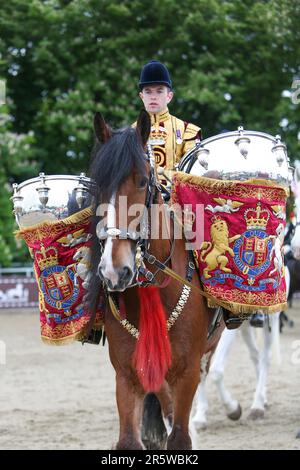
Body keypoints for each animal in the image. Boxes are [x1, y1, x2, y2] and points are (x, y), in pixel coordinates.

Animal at [88, 110, 224, 452]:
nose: (114, 270)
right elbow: (128, 440)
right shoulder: (127, 375)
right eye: (98, 185)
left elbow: (180, 437)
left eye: (143, 181)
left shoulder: (187, 372)